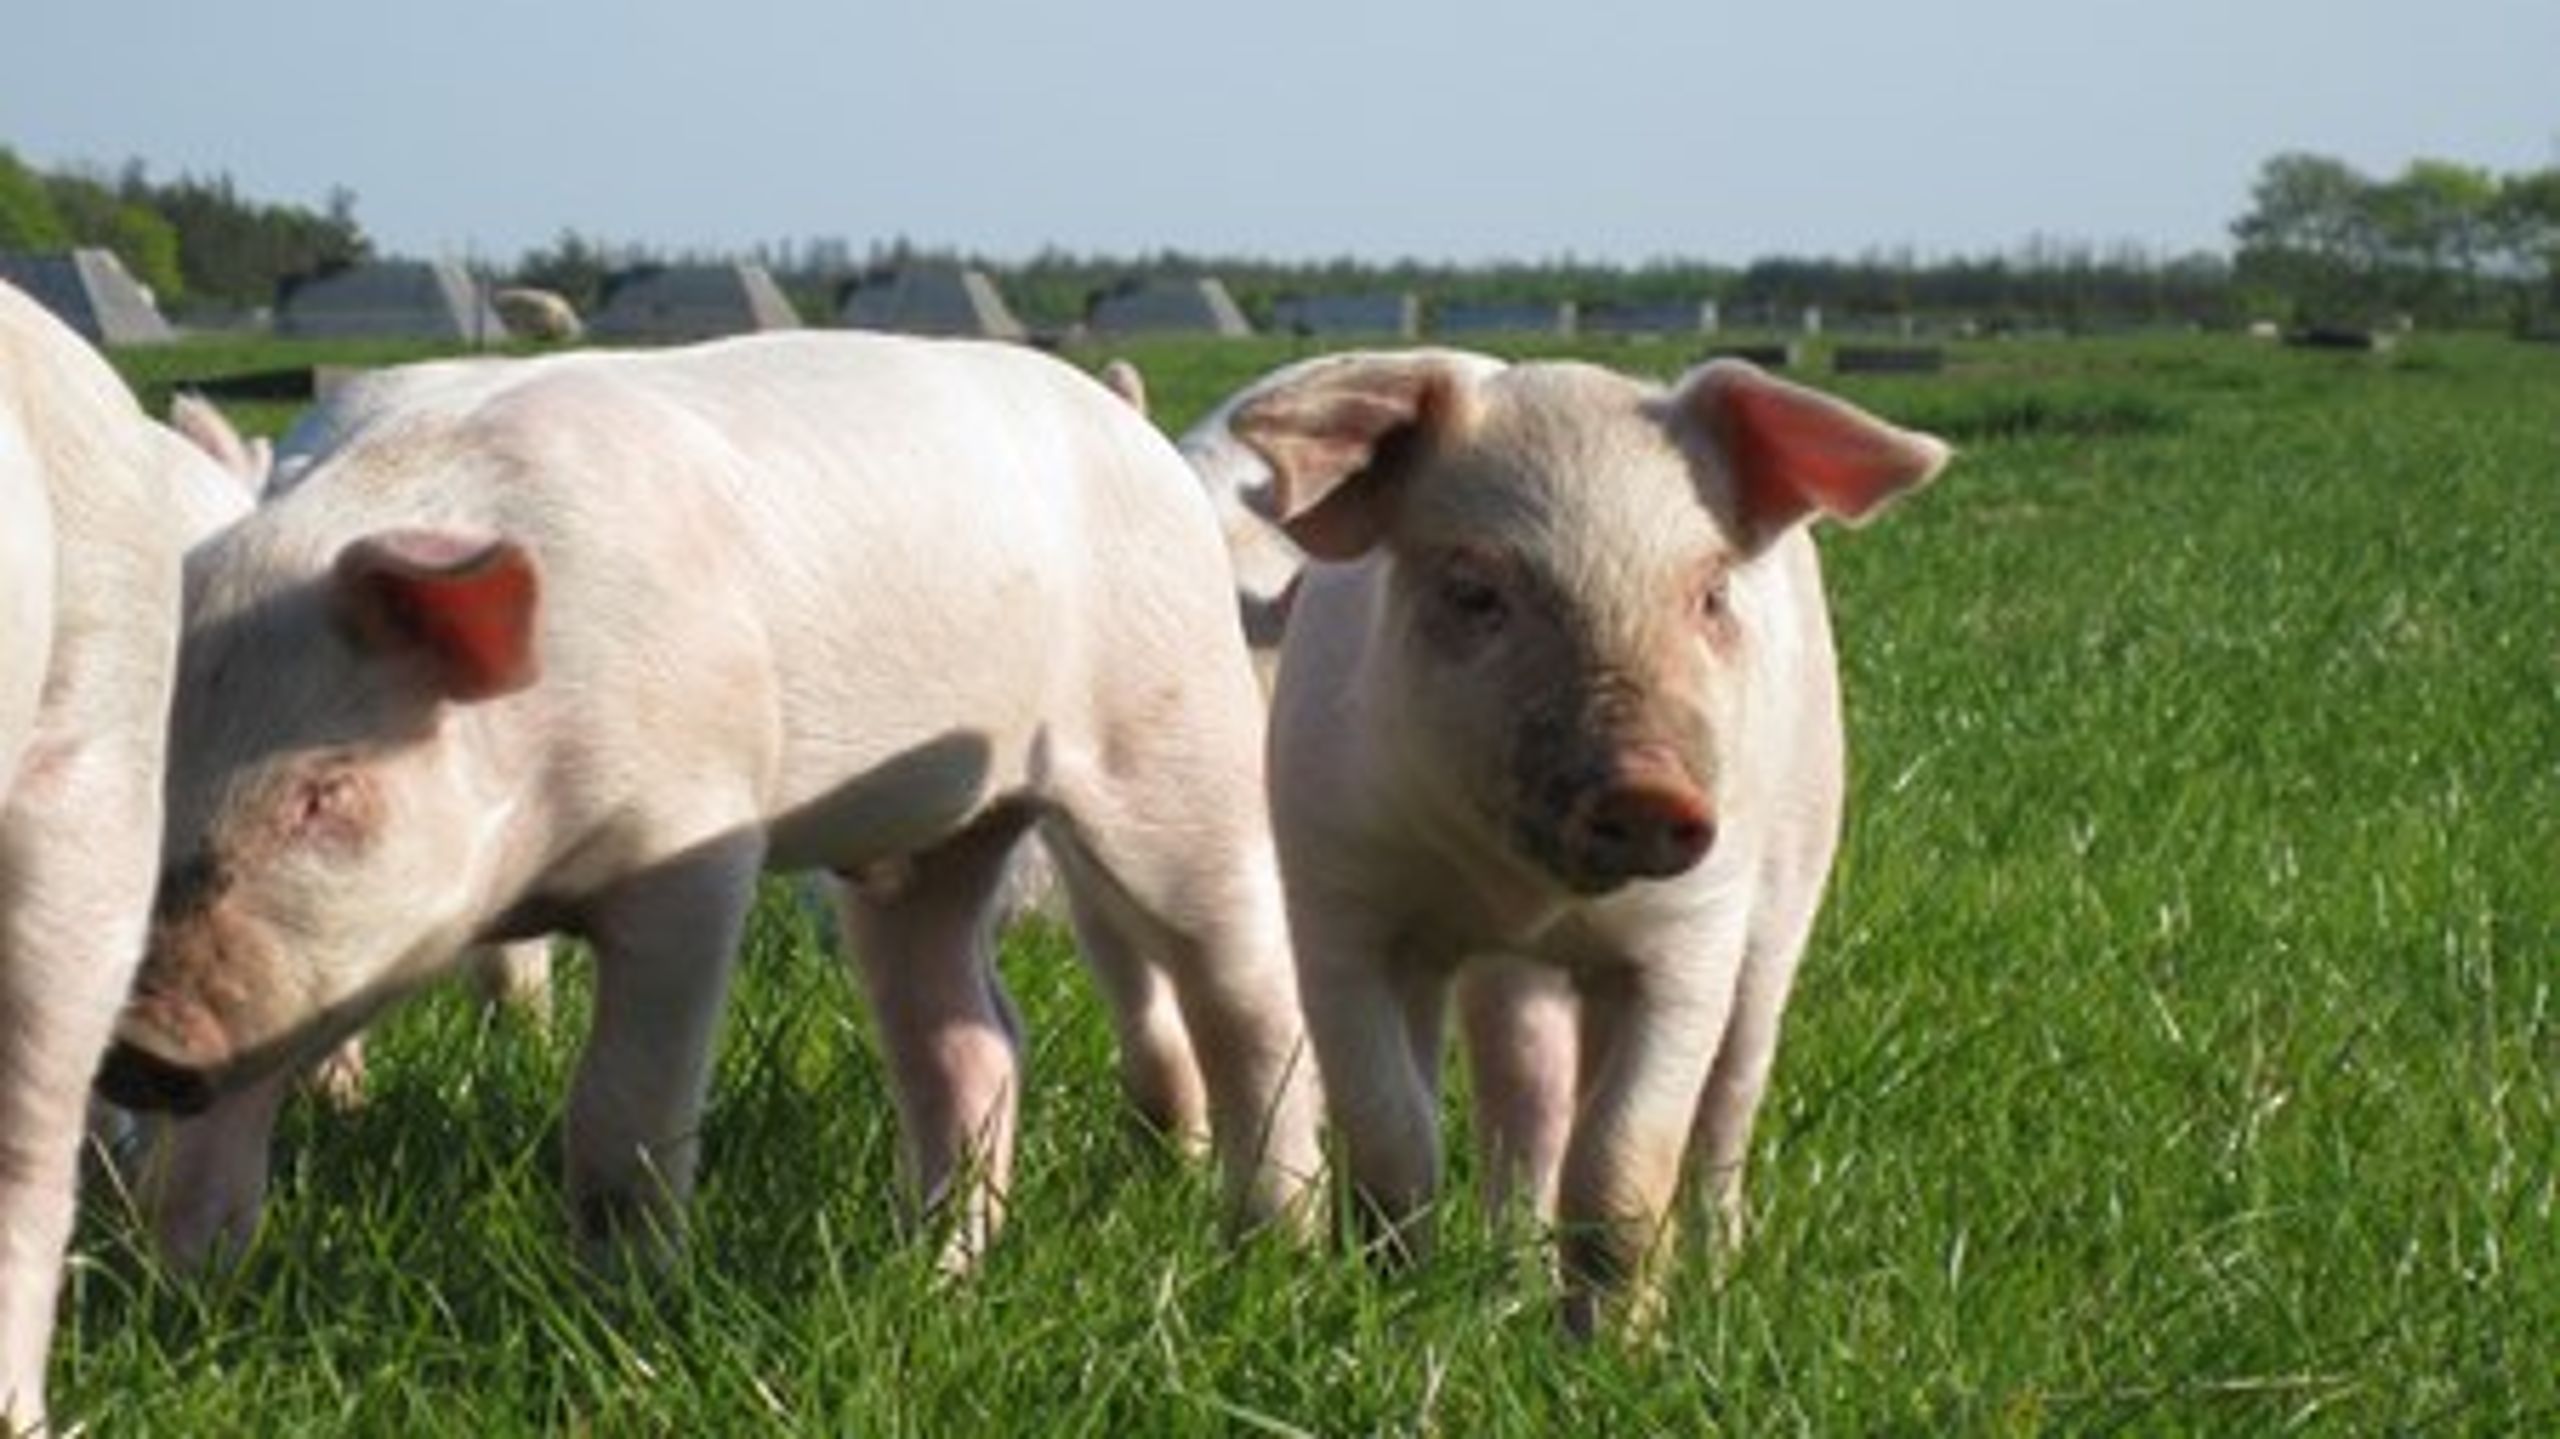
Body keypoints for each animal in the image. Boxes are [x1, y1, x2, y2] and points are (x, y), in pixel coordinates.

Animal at [95, 332, 1323, 1277]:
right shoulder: (305, 972)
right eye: (145, 781)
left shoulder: (690, 842)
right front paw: (187, 1291)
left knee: (1245, 989)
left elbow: (619, 1115)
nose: (139, 1038)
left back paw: (1274, 1248)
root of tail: (1135, 438)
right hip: (921, 849)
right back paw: (932, 1278)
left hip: (1168, 732)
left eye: (323, 790)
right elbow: (225, 1124)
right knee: (973, 1037)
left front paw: (628, 1301)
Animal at [1231, 351, 1948, 1333]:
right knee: (1526, 1098)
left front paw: (1613, 1346)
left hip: (1793, 874)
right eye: (1475, 591)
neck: (1526, 893)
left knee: (1727, 1101)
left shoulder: (1690, 934)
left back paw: (1717, 1274)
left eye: (1711, 594)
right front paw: (1394, 1310)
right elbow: (1392, 1139)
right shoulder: (1339, 898)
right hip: (1508, 980)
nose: (1647, 786)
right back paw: (1508, 1284)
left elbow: (1621, 1163)